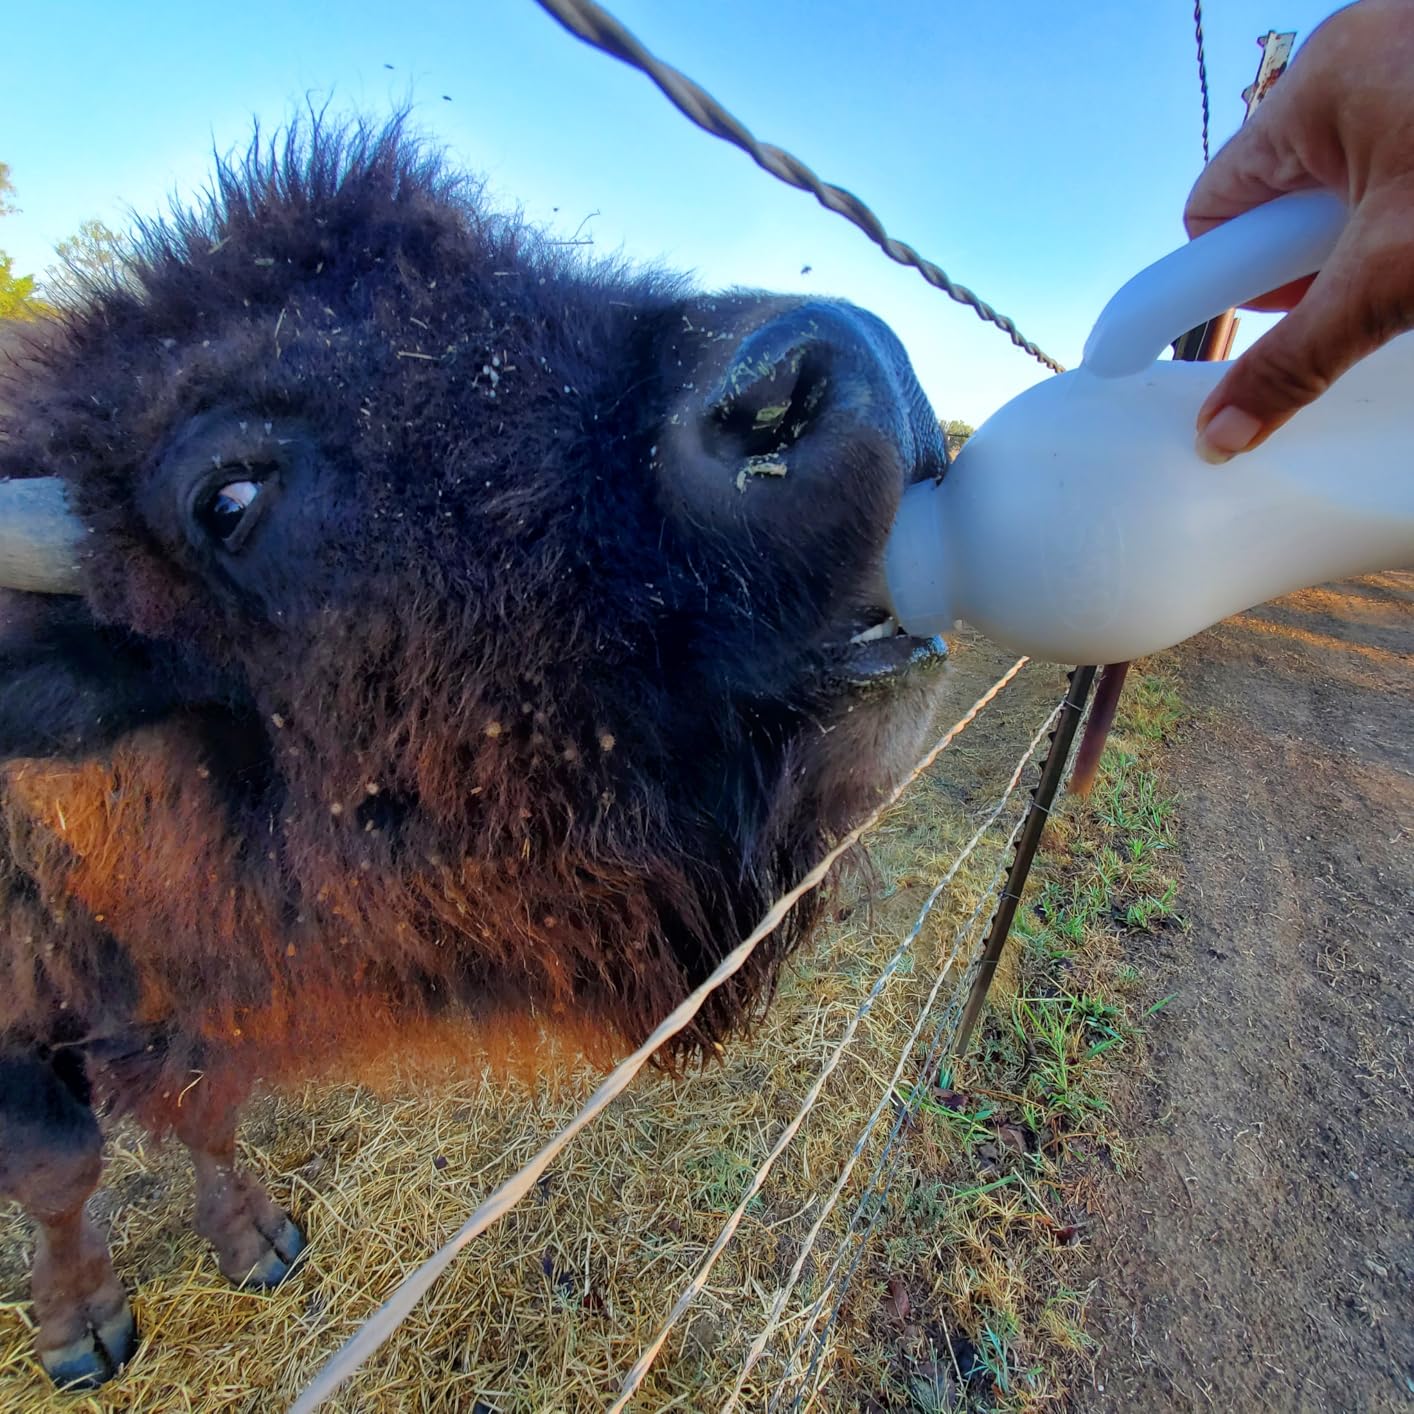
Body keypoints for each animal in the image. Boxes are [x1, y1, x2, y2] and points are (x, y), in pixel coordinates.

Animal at [0, 116, 951, 1387]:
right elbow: (58, 1164)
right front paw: (81, 1333)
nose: (851, 368)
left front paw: (256, 1242)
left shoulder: (199, 992)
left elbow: (204, 1106)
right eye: (227, 497)